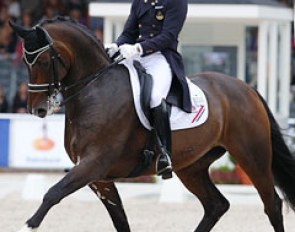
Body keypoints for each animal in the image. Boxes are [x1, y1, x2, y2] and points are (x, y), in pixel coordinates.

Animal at [10, 18, 295, 232]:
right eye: (24, 62)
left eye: (43, 62)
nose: (37, 109)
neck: (95, 90)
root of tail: (246, 88)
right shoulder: (98, 178)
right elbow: (120, 221)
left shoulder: (93, 164)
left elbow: (53, 193)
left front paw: (27, 225)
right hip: (192, 167)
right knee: (217, 205)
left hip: (252, 157)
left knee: (272, 204)